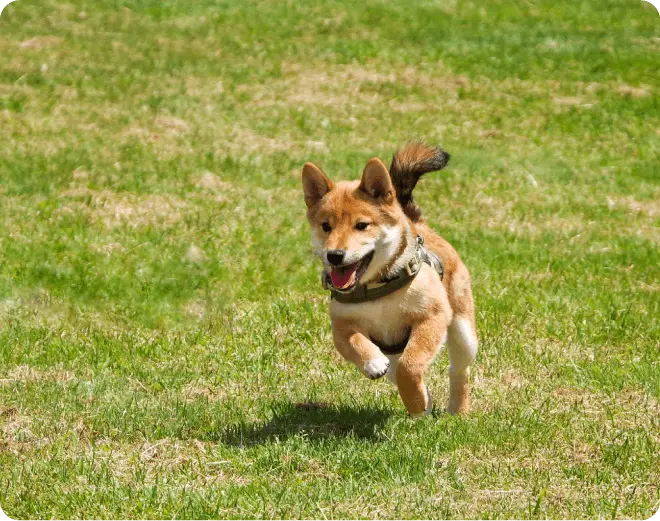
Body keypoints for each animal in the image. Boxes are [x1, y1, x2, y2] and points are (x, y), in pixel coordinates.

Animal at [302, 141, 476, 414]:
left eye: (361, 225)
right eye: (325, 226)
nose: (335, 256)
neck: (377, 288)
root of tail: (418, 224)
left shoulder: (432, 316)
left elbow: (410, 366)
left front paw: (415, 400)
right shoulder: (341, 325)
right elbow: (354, 341)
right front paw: (373, 363)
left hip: (463, 331)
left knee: (458, 370)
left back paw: (457, 410)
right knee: (399, 370)